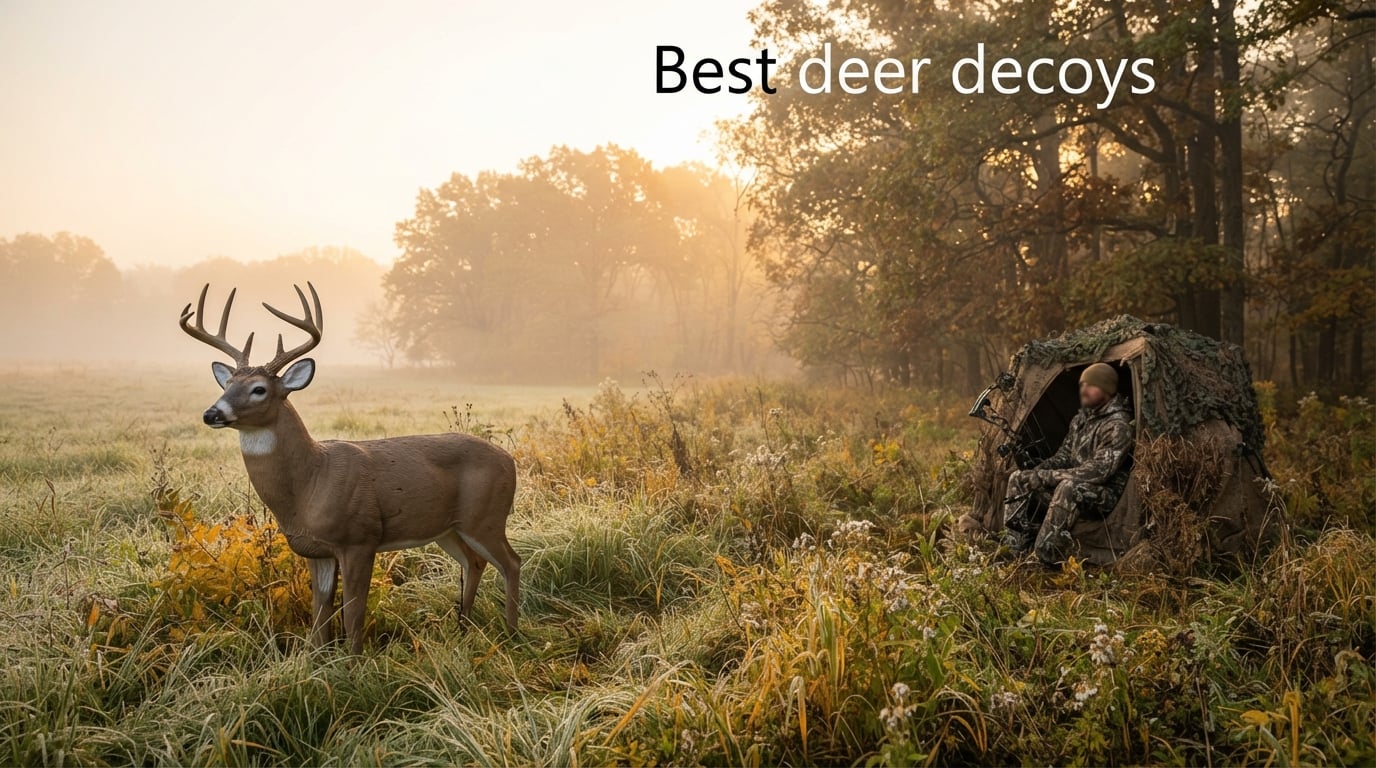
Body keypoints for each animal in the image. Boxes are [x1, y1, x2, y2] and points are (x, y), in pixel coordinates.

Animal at [179, 282, 520, 653]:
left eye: (259, 389)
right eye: (226, 385)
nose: (211, 413)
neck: (310, 484)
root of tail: (510, 461)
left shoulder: (360, 537)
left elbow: (353, 613)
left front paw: (354, 660)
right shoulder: (316, 550)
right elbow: (320, 614)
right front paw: (318, 658)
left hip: (486, 517)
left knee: (511, 562)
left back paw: (513, 633)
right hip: (449, 528)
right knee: (475, 562)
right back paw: (463, 625)